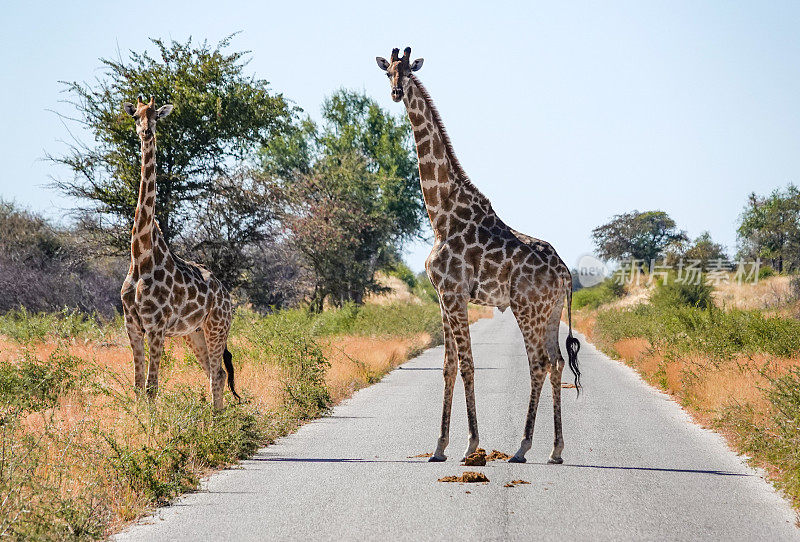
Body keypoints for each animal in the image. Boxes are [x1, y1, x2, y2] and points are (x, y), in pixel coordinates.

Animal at [119, 96, 238, 408]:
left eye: (156, 116)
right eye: (135, 116)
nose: (146, 132)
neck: (141, 256)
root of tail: (226, 294)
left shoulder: (156, 326)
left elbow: (152, 388)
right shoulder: (132, 325)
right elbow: (137, 387)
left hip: (216, 326)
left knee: (217, 373)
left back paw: (217, 421)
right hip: (193, 334)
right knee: (216, 372)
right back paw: (217, 419)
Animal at [378, 47, 580, 464]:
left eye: (408, 73)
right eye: (388, 72)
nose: (395, 93)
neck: (440, 213)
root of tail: (566, 273)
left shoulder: (455, 293)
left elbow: (468, 365)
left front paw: (470, 444)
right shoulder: (443, 296)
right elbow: (448, 366)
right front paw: (439, 446)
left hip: (527, 308)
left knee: (538, 363)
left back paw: (523, 447)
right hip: (550, 311)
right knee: (555, 362)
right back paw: (555, 450)